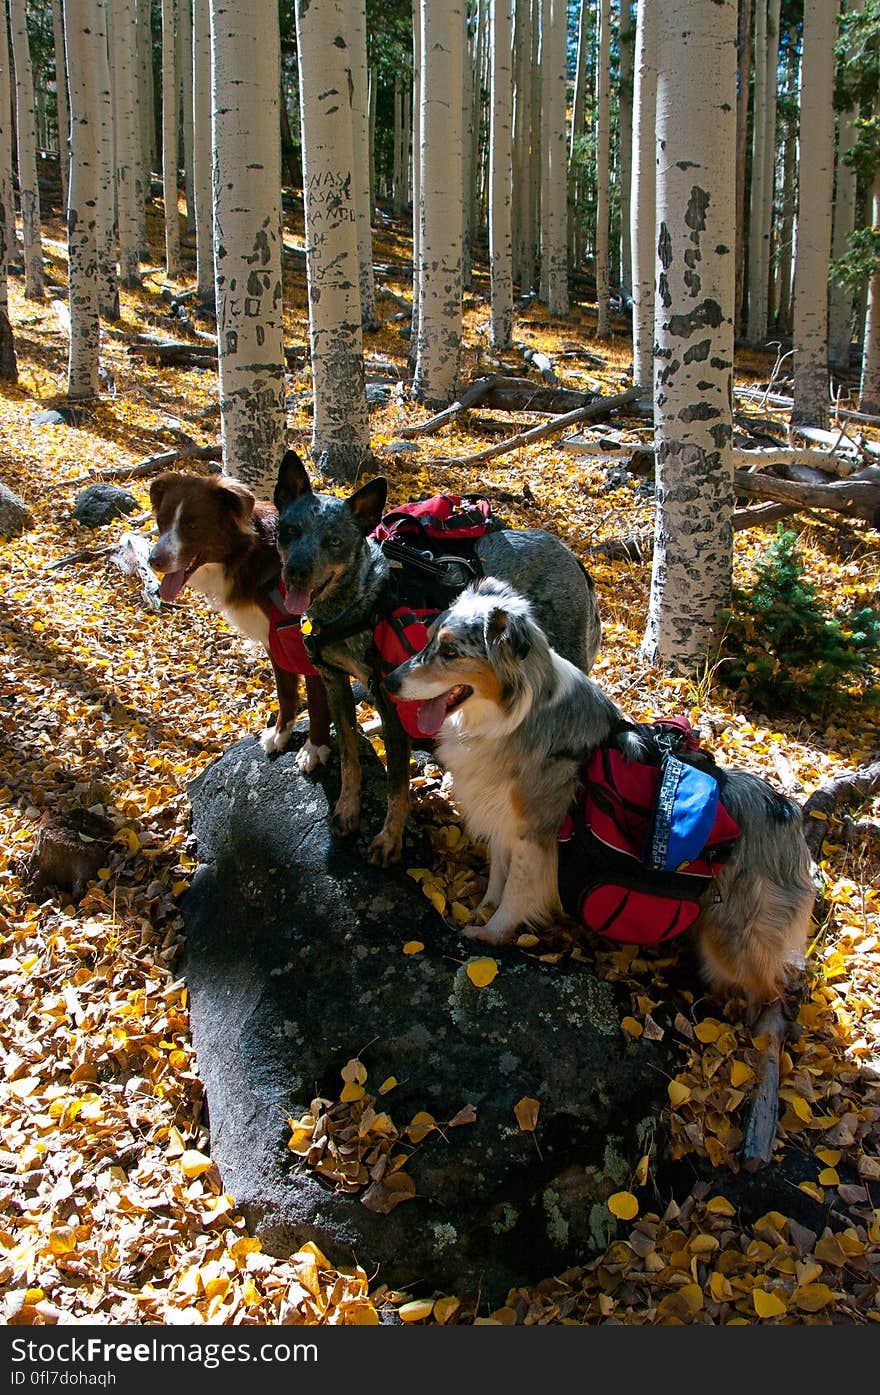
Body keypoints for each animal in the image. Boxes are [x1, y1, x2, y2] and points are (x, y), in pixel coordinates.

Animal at [149, 471, 331, 775]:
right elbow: (285, 691)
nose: (154, 561)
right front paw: (280, 733)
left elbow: (317, 703)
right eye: (161, 521)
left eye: (192, 524)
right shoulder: (274, 639)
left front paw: (314, 748)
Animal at [387, 571, 820, 1021]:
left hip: (732, 936)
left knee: (772, 989)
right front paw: (482, 909)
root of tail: (788, 815)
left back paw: (759, 1027)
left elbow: (516, 891)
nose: (387, 681)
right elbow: (498, 876)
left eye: (450, 651)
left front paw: (491, 932)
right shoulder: (504, 820)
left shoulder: (534, 834)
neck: (514, 716)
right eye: (428, 639)